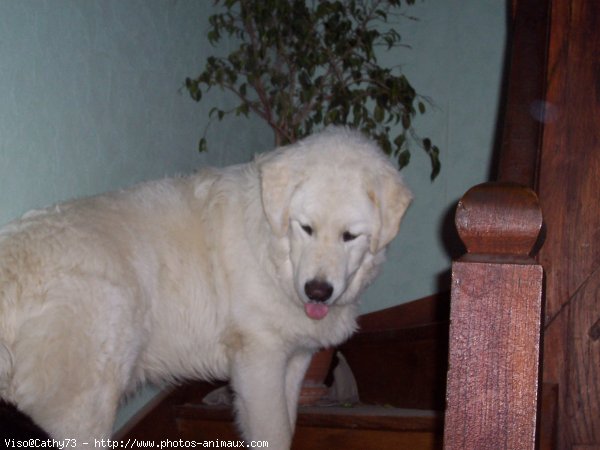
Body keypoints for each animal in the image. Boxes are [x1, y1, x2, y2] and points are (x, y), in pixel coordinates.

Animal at [0, 126, 412, 446]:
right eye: (306, 228)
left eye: (349, 236)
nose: (317, 291)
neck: (271, 249)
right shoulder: (259, 360)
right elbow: (274, 434)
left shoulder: (293, 361)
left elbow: (288, 425)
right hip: (81, 407)